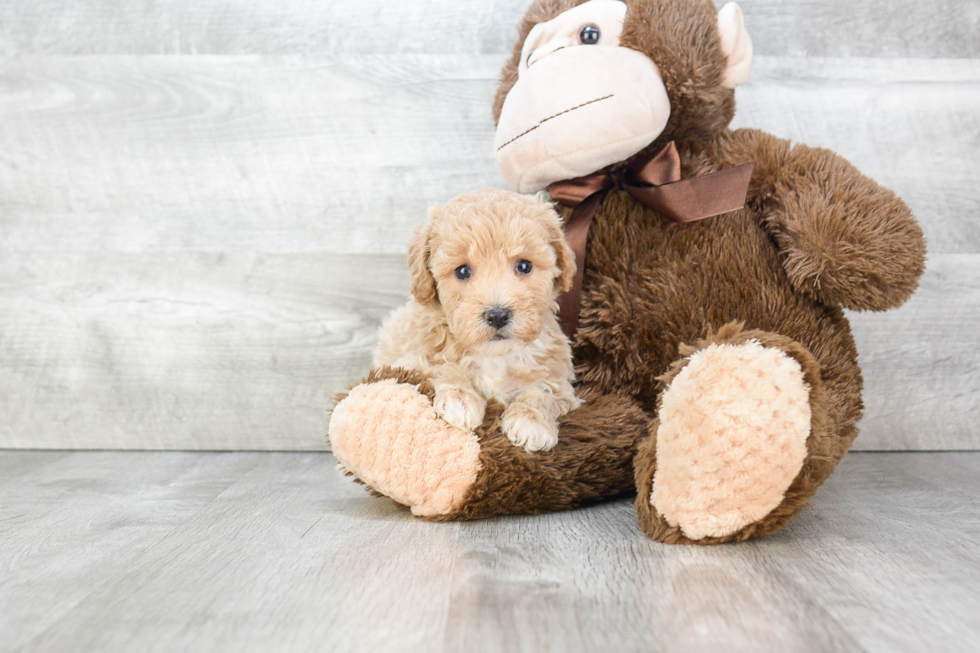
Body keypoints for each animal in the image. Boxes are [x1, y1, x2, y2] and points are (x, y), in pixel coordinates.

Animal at [372, 188, 580, 450]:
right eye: (462, 271)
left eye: (524, 266)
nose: (498, 315)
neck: (494, 356)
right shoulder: (407, 360)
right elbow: (441, 367)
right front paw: (459, 399)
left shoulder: (560, 380)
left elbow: (543, 390)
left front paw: (531, 420)